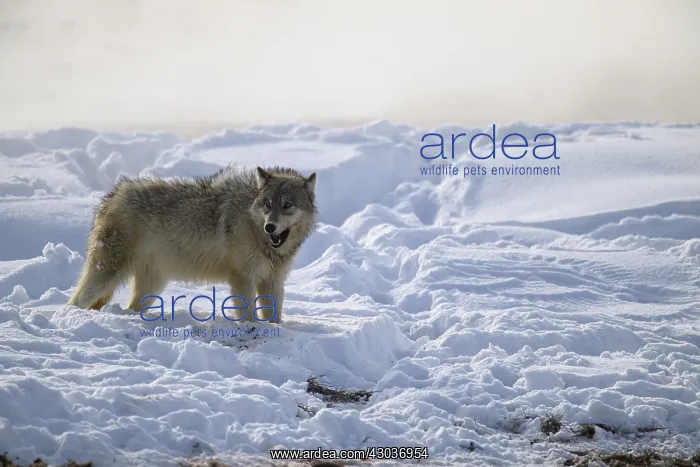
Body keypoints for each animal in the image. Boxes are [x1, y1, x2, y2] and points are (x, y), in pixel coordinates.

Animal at [67, 165, 318, 323]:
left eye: (287, 205)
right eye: (267, 204)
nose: (270, 227)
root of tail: (112, 196)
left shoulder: (273, 281)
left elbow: (274, 317)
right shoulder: (243, 277)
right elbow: (248, 314)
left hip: (152, 286)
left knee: (130, 307)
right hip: (106, 276)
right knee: (76, 300)